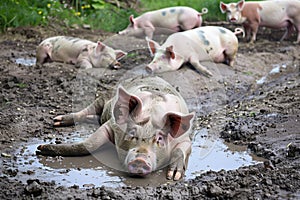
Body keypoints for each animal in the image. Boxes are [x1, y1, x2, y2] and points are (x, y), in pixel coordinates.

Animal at [36, 76, 196, 180]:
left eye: (159, 139)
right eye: (131, 133)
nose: (140, 160)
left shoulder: (186, 139)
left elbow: (180, 151)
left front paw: (173, 176)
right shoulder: (112, 124)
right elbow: (89, 144)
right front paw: (41, 148)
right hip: (104, 96)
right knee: (87, 110)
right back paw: (57, 121)